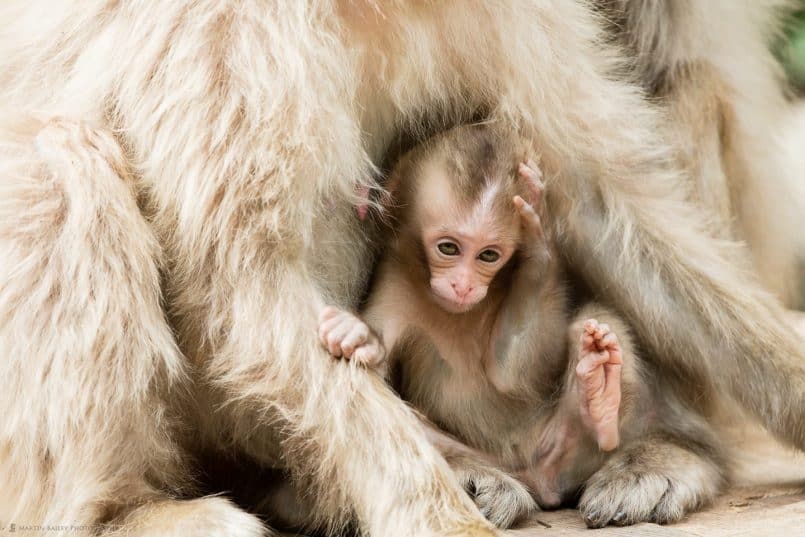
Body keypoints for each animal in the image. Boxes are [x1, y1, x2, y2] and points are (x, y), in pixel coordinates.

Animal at [318, 123, 644, 524]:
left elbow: (512, 376)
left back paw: (599, 399)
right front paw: (356, 335)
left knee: (597, 319)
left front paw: (539, 243)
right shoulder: (396, 284)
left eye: (489, 255)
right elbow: (377, 367)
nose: (464, 285)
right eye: (448, 248)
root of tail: (535, 477)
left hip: (566, 454)